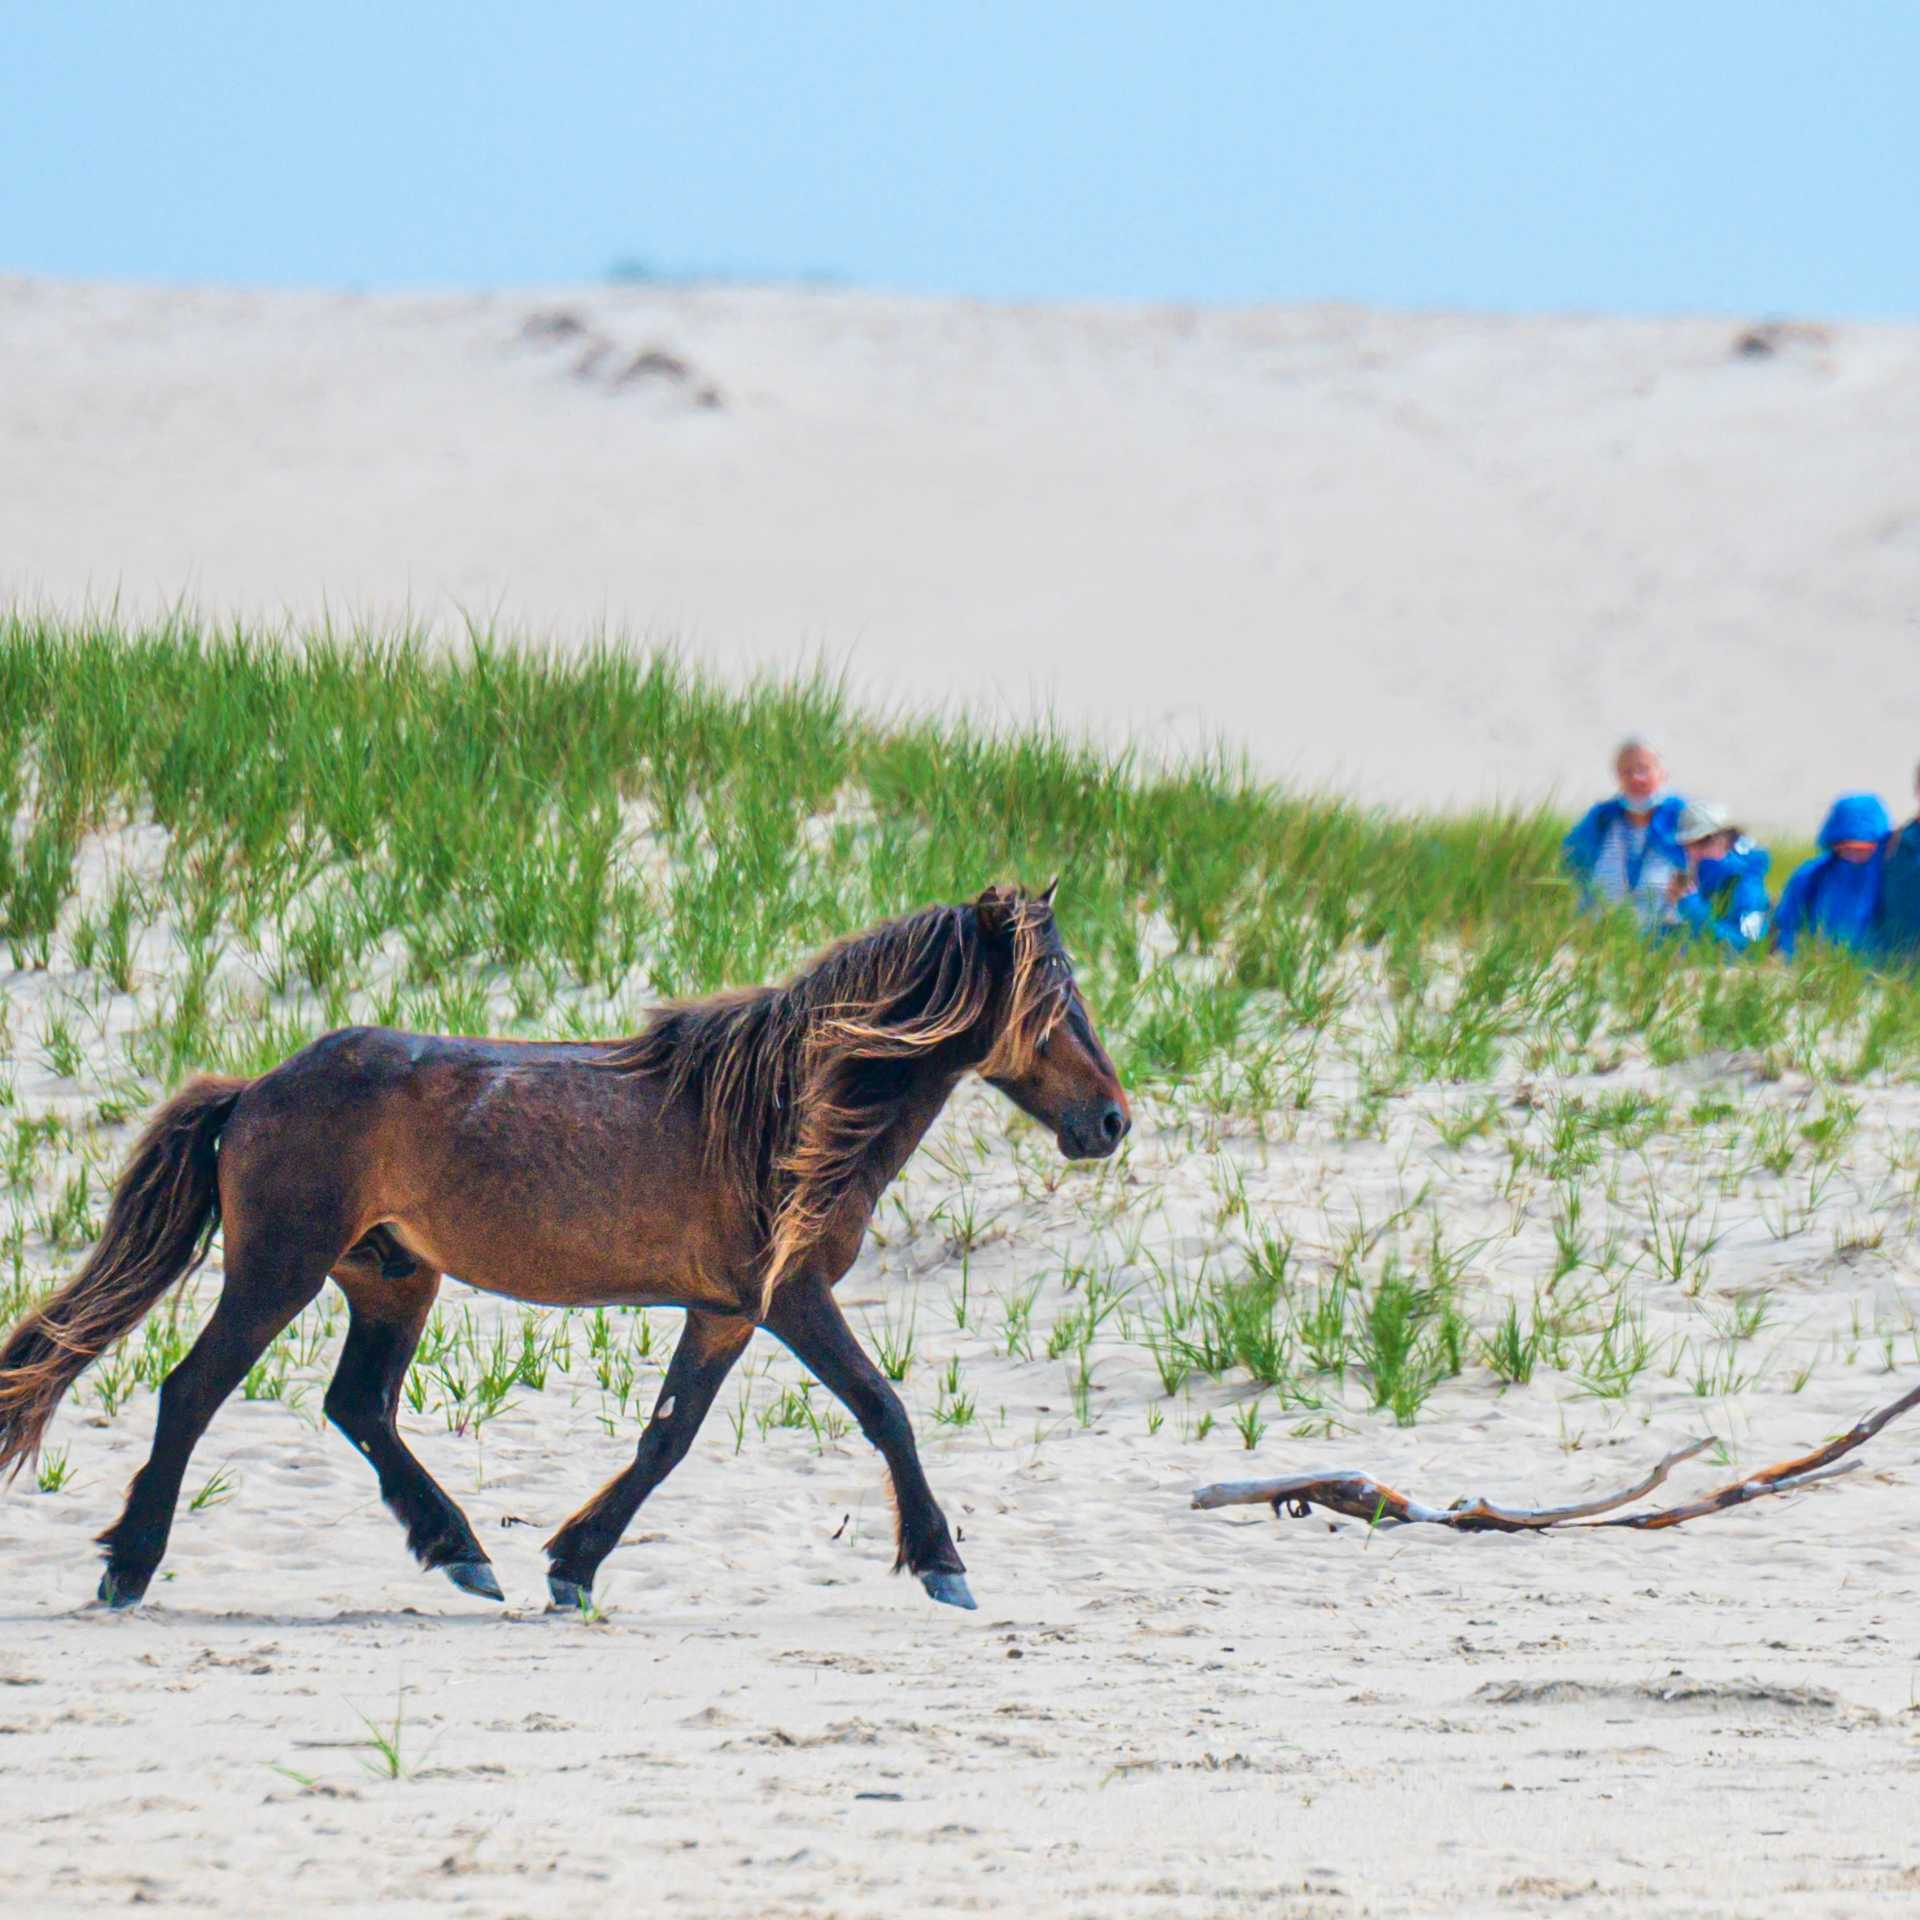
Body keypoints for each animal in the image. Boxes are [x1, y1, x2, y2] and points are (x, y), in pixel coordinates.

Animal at [0, 883, 1128, 1614]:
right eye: (1053, 993)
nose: (1112, 1122)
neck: (781, 1110)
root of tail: (255, 1089)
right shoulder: (789, 1297)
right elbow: (883, 1408)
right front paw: (943, 1565)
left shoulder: (725, 1312)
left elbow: (668, 1438)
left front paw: (573, 1566)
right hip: (277, 1273)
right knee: (193, 1392)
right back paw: (128, 1567)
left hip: (393, 1279)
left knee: (359, 1406)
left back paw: (461, 1553)